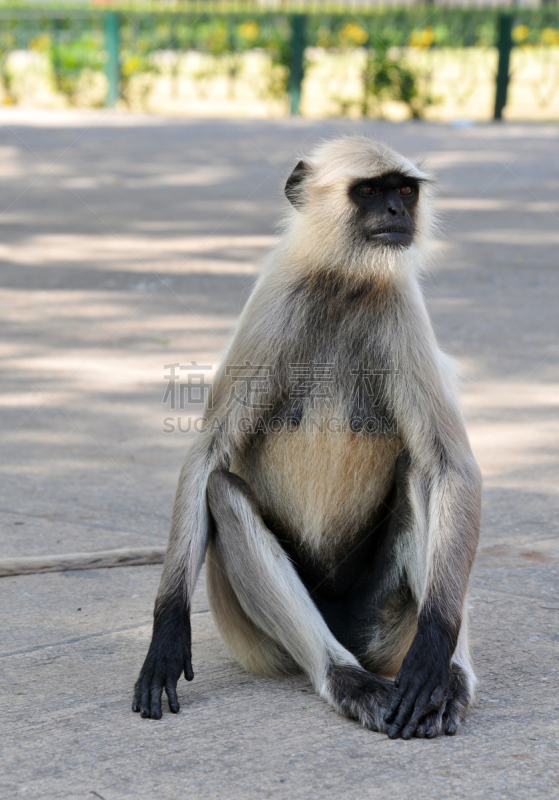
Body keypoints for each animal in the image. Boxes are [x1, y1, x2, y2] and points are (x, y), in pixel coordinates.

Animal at [135, 136, 482, 736]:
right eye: (368, 191)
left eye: (404, 190)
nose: (398, 212)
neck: (343, 282)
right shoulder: (273, 305)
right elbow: (206, 458)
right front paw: (167, 630)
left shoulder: (399, 306)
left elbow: (452, 468)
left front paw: (437, 651)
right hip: (257, 640)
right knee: (222, 491)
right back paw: (347, 680)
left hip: (385, 628)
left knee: (424, 472)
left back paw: (447, 681)